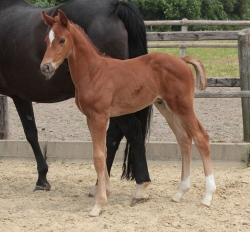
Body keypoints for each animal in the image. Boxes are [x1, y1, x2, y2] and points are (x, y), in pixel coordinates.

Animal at [0, 0, 151, 199]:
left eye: (62, 40)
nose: (45, 67)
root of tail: (115, 7)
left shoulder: (20, 96)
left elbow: (31, 134)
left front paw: (42, 179)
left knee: (131, 128)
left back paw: (139, 185)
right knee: (113, 136)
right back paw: (100, 185)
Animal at [40, 10, 216, 217]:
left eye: (62, 40)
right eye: (46, 40)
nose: (46, 67)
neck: (93, 72)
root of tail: (181, 61)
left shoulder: (99, 117)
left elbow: (99, 156)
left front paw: (99, 204)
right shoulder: (90, 118)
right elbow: (102, 152)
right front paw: (106, 192)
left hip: (183, 106)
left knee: (201, 137)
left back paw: (207, 197)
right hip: (166, 107)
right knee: (184, 139)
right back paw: (179, 193)